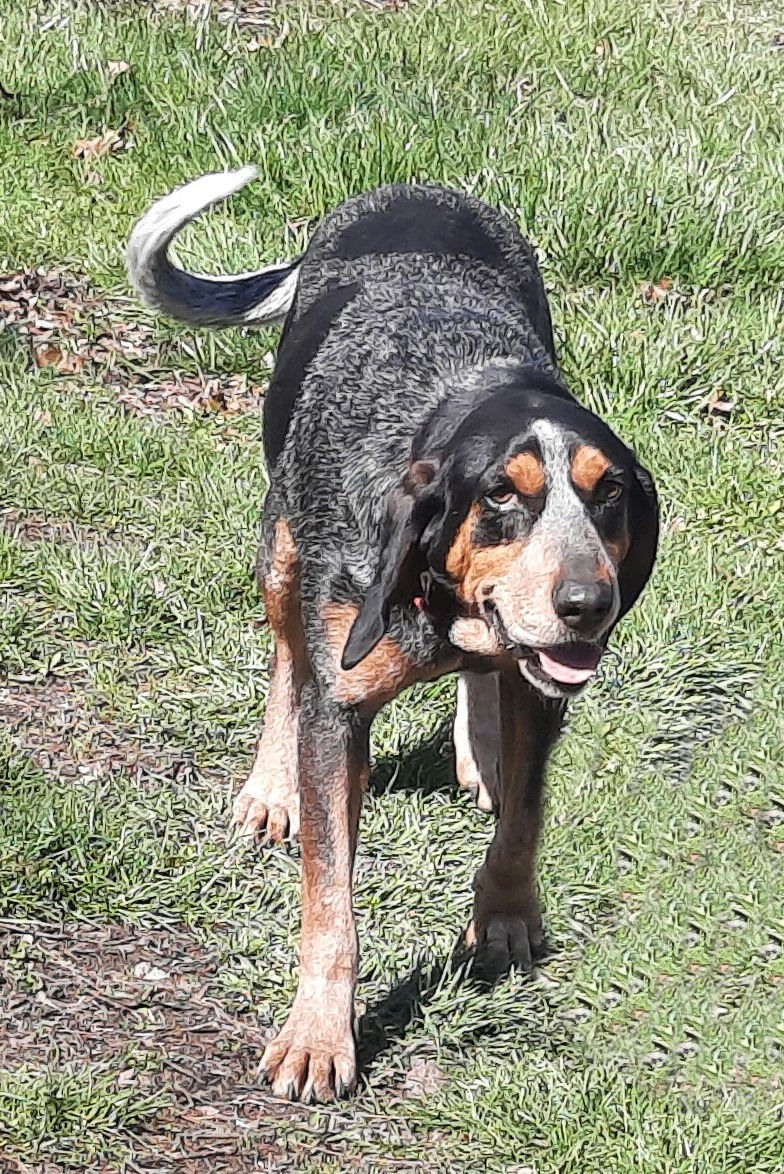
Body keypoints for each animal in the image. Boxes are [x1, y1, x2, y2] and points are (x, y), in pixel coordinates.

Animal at [130, 165, 661, 1098]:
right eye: (502, 494)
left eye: (609, 494)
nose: (588, 604)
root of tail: (415, 186)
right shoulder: (338, 709)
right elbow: (331, 899)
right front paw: (318, 1037)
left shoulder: (543, 695)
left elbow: (524, 816)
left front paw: (507, 920)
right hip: (279, 550)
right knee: (286, 660)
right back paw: (272, 789)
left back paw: (480, 748)